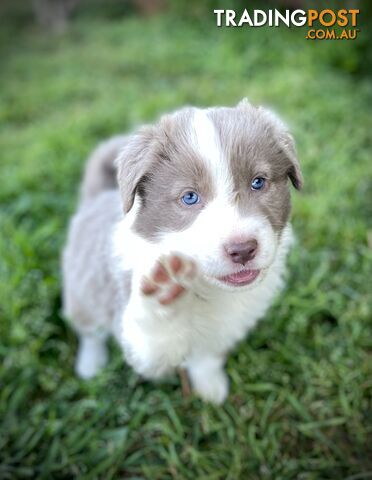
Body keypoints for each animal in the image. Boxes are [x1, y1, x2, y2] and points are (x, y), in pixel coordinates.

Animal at [63, 99, 302, 404]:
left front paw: (210, 388)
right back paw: (90, 364)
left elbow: (207, 358)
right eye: (189, 197)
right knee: (89, 332)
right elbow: (153, 338)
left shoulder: (224, 329)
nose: (242, 249)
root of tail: (96, 196)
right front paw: (164, 286)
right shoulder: (142, 345)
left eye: (258, 182)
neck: (208, 290)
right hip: (83, 289)